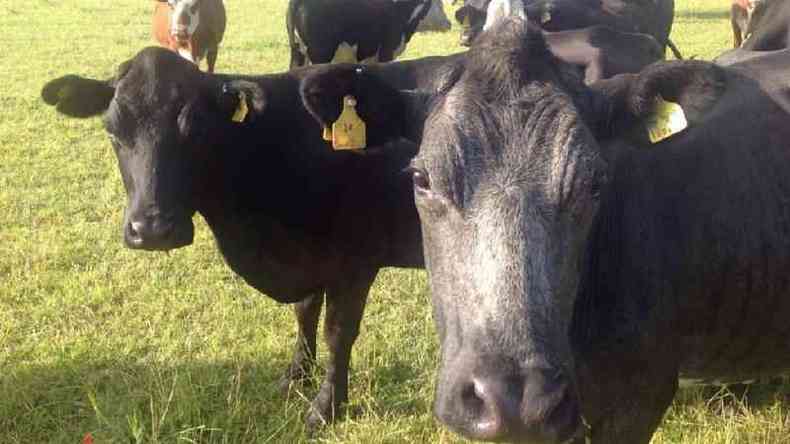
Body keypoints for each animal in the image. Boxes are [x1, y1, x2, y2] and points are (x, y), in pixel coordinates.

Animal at [40, 47, 464, 430]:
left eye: (196, 130)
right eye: (112, 130)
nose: (152, 230)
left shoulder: (355, 261)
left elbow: (338, 334)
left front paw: (325, 408)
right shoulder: (313, 260)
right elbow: (305, 314)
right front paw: (296, 376)